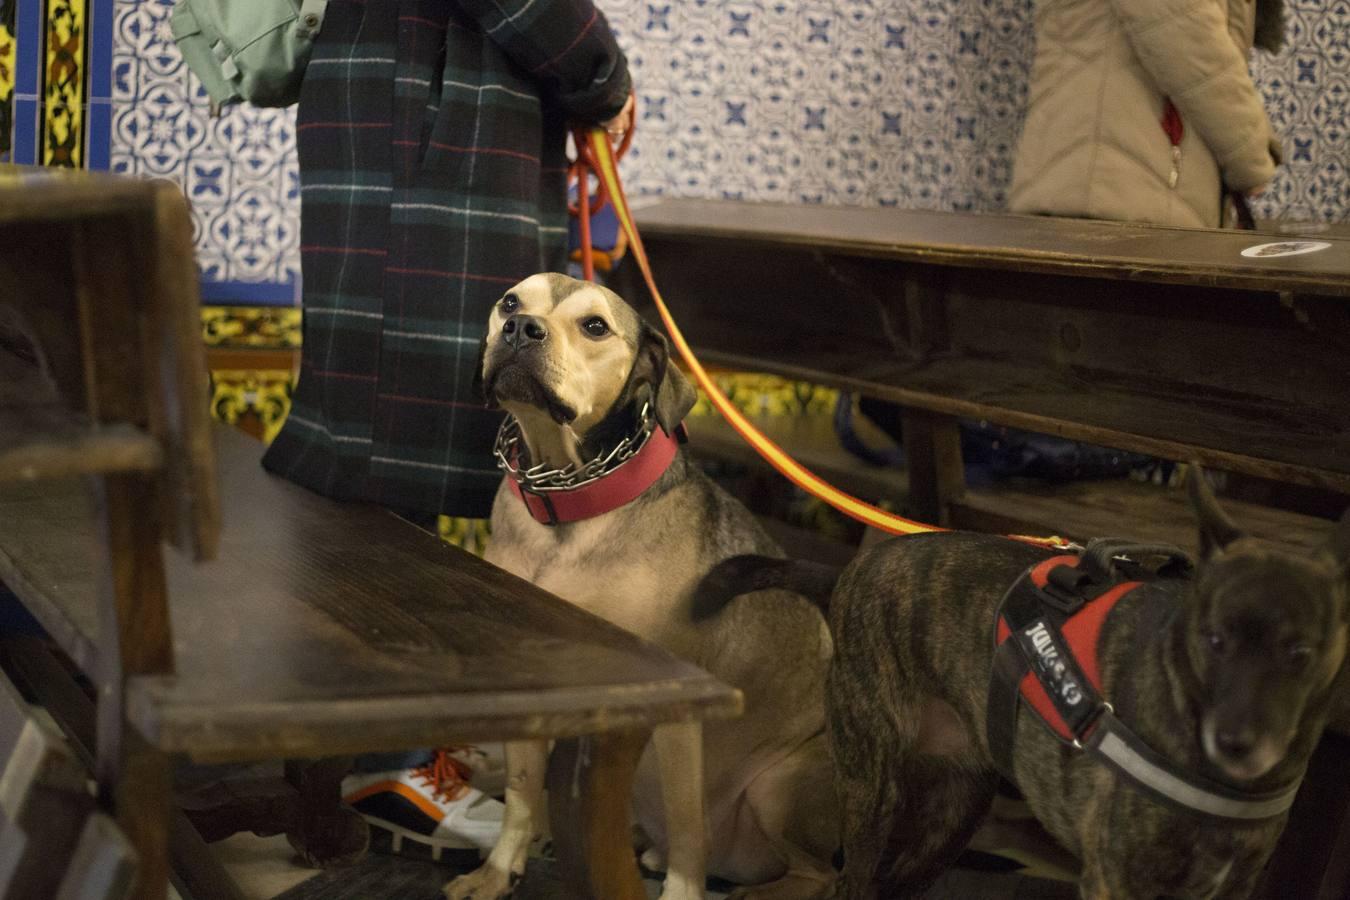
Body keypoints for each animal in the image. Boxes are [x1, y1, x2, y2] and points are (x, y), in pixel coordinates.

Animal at [448, 275, 837, 900]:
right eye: (510, 301)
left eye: (595, 326)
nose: (520, 329)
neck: (570, 500)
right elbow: (522, 792)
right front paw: (497, 871)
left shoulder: (678, 708)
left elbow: (686, 827)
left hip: (778, 786)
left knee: (818, 873)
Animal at [702, 474, 1350, 895]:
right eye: (1213, 640)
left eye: (1302, 653)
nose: (1237, 743)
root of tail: (847, 576)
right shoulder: (1116, 879)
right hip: (872, 792)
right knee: (852, 884)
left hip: (954, 812)